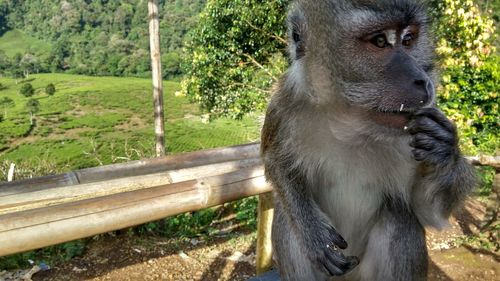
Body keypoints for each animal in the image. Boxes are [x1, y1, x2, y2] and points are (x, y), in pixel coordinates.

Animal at [262, 0, 476, 280]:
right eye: (379, 41)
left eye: (408, 40)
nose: (422, 80)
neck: (349, 124)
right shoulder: (284, 106)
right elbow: (275, 162)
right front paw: (313, 232)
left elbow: (428, 210)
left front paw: (444, 149)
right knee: (287, 223)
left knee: (400, 217)